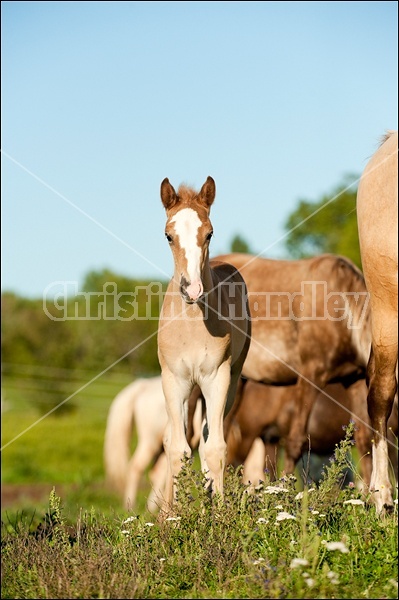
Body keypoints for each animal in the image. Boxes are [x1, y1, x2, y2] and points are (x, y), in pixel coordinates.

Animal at [159, 175, 250, 510]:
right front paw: (174, 516)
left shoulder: (217, 378)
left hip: (229, 383)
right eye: (168, 236)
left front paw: (219, 514)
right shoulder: (173, 380)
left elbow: (215, 449)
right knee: (173, 439)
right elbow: (177, 449)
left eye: (209, 233)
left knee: (208, 439)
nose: (192, 289)